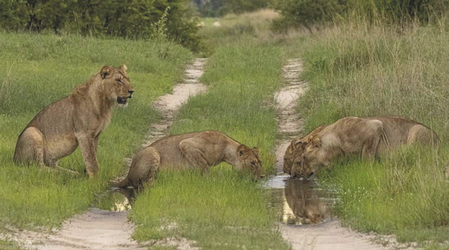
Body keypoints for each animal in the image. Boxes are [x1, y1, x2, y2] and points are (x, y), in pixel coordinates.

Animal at [116, 131, 262, 189]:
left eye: (260, 163)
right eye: (253, 163)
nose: (262, 176)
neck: (226, 149)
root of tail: (128, 174)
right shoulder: (186, 144)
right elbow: (204, 167)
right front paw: (210, 181)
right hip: (152, 152)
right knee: (143, 184)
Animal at [284, 116, 438, 179]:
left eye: (303, 158)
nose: (293, 174)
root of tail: (439, 139)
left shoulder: (375, 126)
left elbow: (366, 157)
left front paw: (368, 171)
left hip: (417, 130)